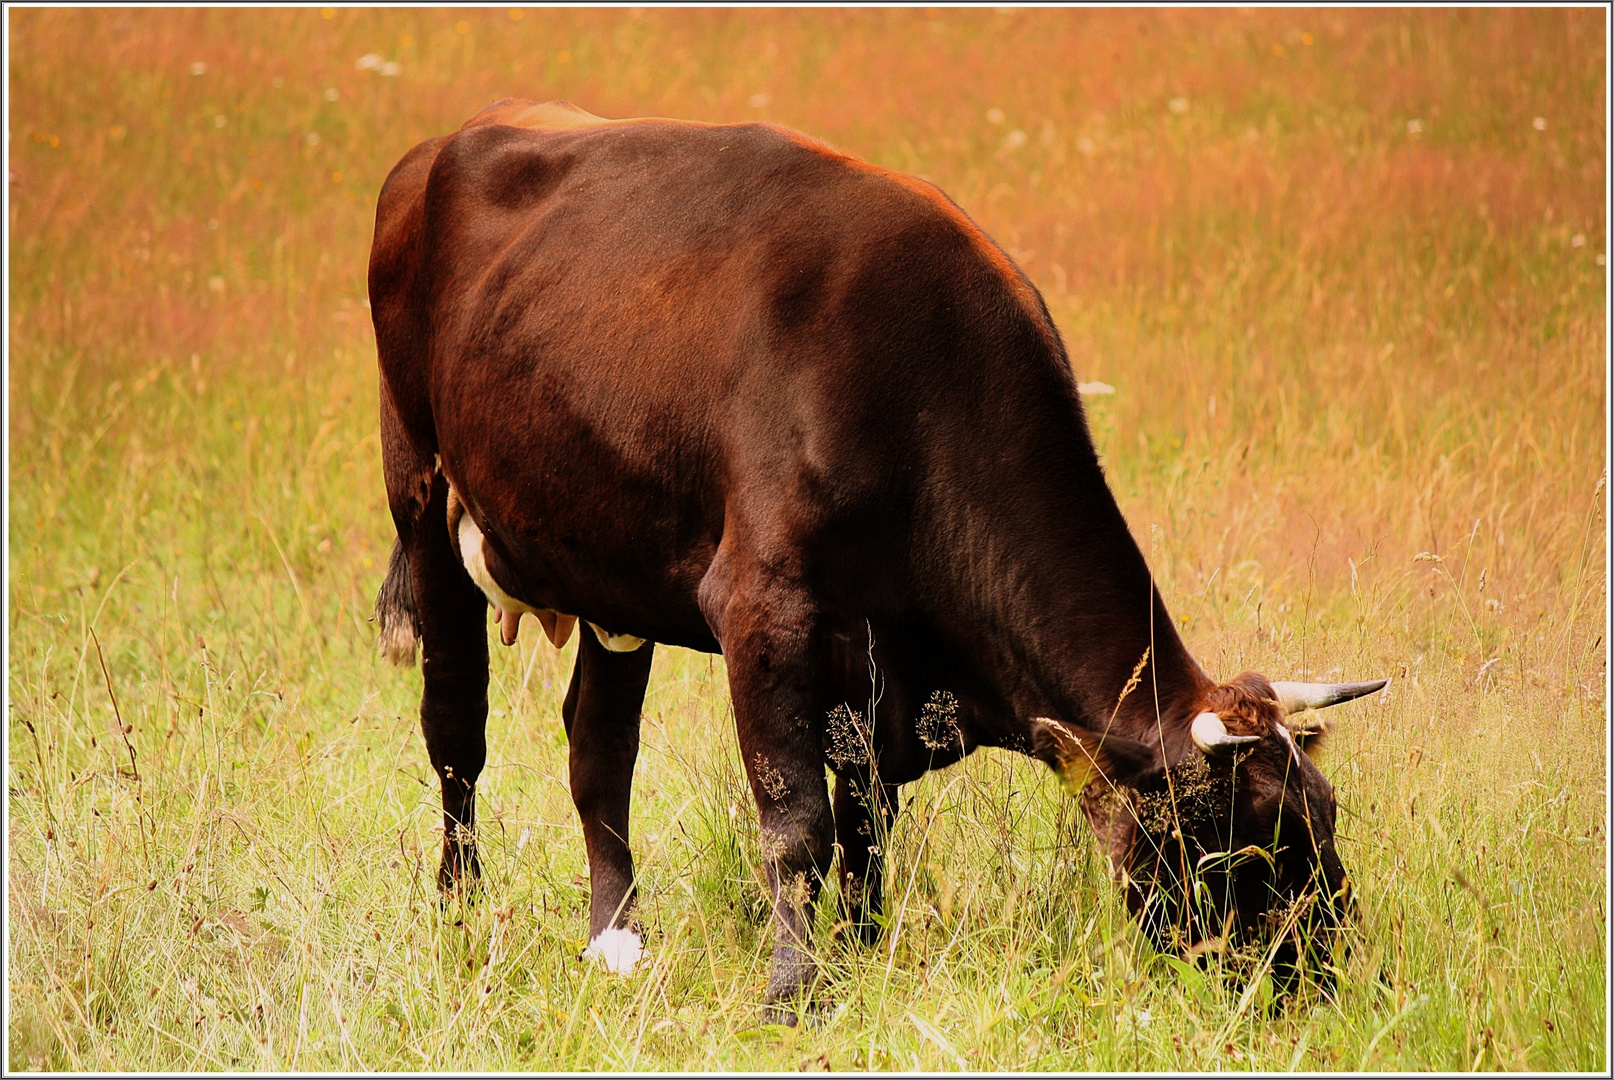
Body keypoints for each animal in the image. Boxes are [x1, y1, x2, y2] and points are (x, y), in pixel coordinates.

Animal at [366, 100, 1388, 1020]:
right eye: (1245, 840)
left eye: (1325, 813)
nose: (1334, 983)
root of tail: (442, 143)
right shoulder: (763, 612)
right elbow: (797, 829)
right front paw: (793, 994)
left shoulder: (875, 674)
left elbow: (865, 828)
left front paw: (858, 957)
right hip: (421, 496)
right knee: (456, 734)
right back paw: (459, 918)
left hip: (611, 569)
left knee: (598, 745)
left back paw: (615, 937)